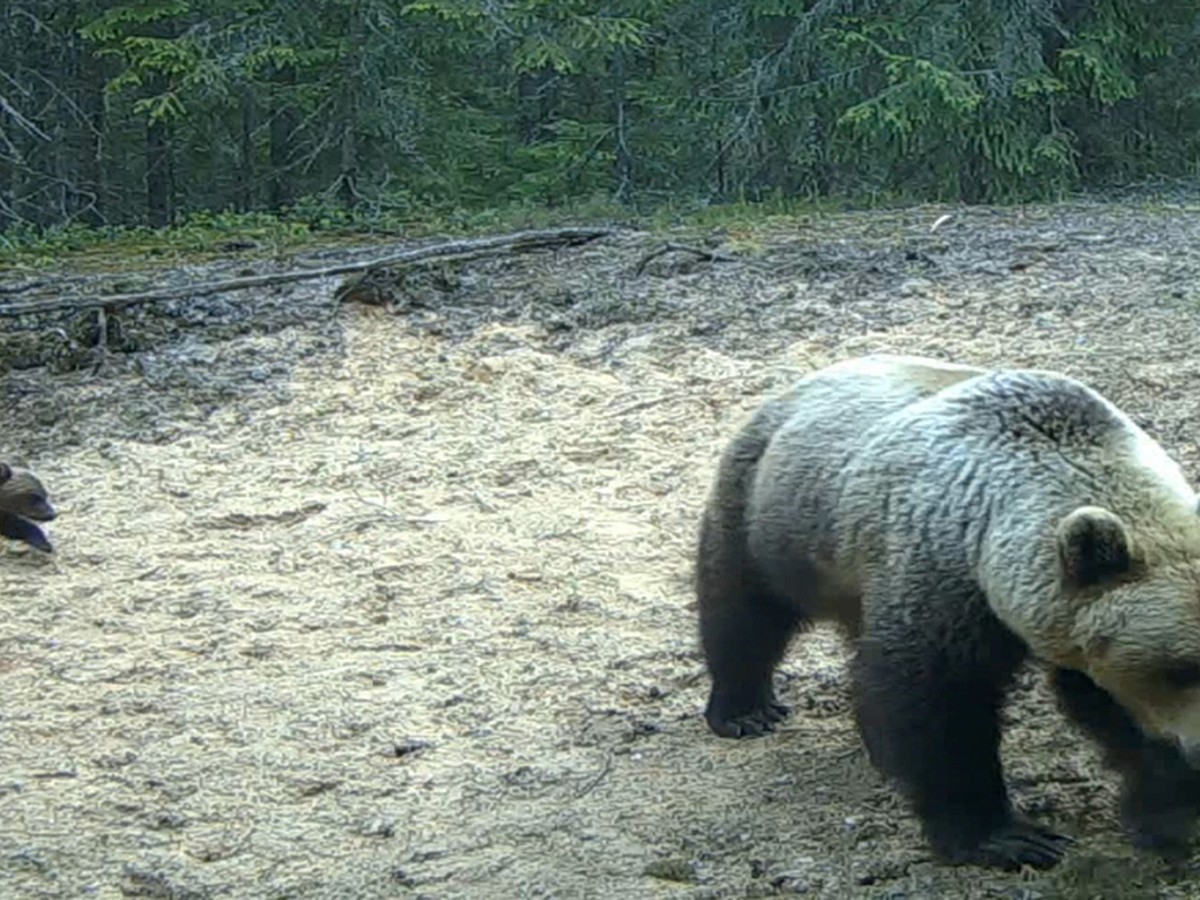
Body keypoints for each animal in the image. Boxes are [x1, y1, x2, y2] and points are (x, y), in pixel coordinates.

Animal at [700, 355, 1200, 873]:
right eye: (1182, 668)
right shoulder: (944, 581)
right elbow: (939, 710)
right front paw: (1005, 836)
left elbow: (1108, 708)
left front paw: (1165, 813)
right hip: (774, 515)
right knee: (743, 608)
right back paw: (746, 709)